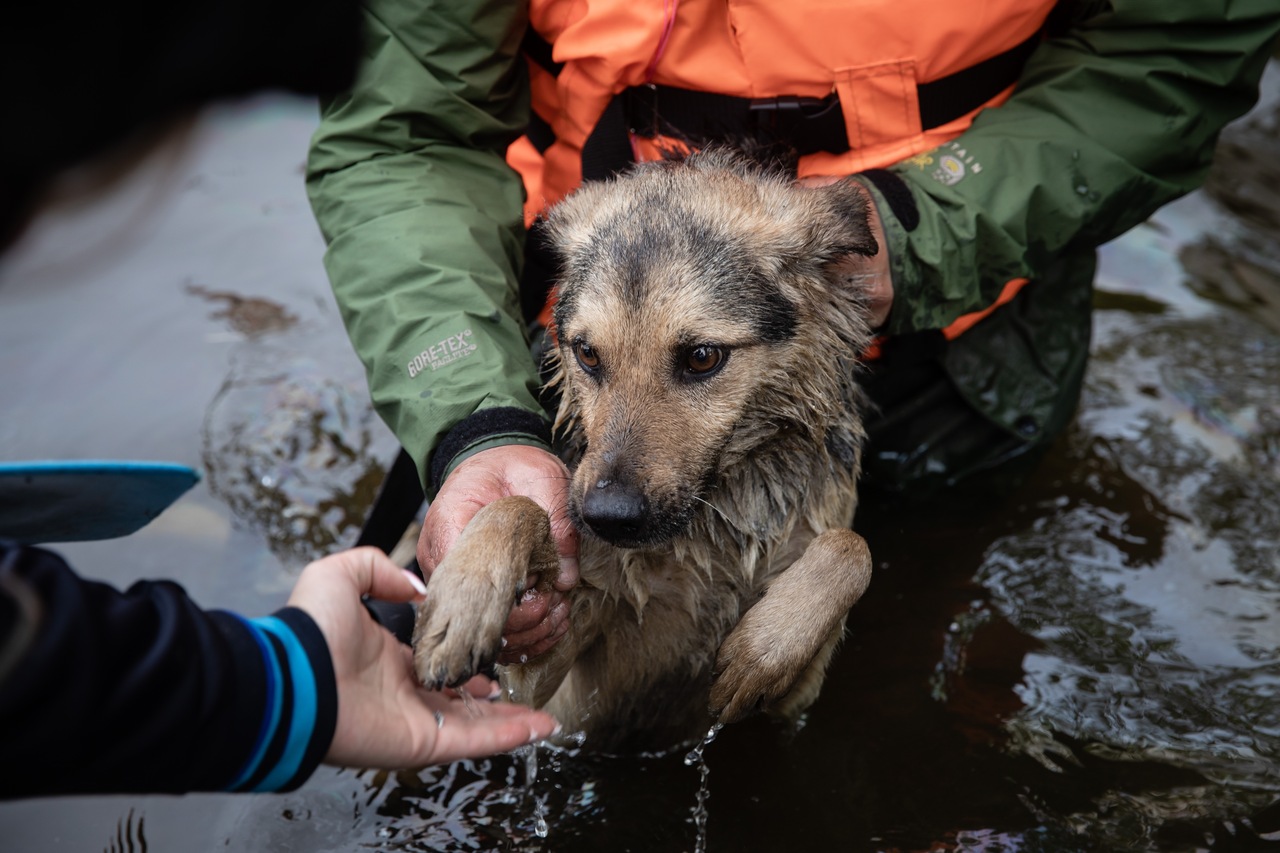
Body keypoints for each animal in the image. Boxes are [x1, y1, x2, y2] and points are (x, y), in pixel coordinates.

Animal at [414, 147, 875, 753]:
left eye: (702, 357)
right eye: (586, 353)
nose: (607, 517)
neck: (710, 531)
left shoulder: (793, 700)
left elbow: (850, 549)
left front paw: (762, 649)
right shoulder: (538, 693)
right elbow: (519, 506)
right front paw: (462, 603)